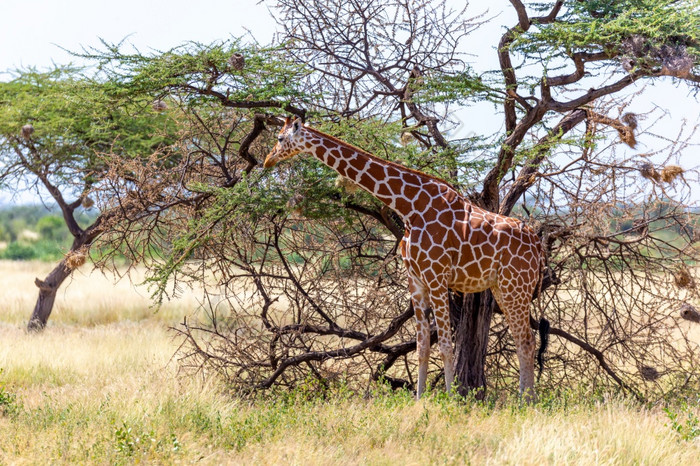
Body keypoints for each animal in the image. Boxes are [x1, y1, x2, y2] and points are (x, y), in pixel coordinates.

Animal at [266, 116, 544, 400]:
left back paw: (527, 401)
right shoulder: (416, 280)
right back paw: (524, 399)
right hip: (502, 287)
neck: (410, 207)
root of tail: (537, 245)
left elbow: (446, 344)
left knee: (527, 340)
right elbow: (422, 346)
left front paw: (451, 400)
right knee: (522, 339)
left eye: (279, 138)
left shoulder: (437, 277)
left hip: (517, 286)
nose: (268, 160)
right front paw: (420, 400)